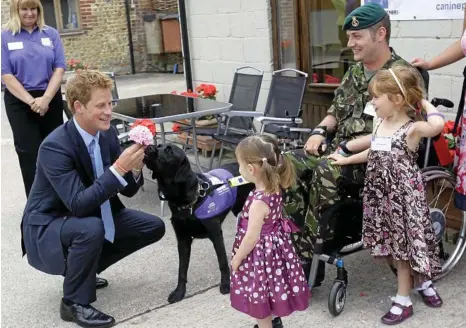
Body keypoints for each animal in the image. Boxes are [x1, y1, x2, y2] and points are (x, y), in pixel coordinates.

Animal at [146, 145, 255, 304]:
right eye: (159, 146)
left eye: (169, 151)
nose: (148, 147)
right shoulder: (183, 239)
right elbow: (182, 270)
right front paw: (179, 292)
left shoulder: (216, 234)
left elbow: (222, 261)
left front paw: (226, 284)